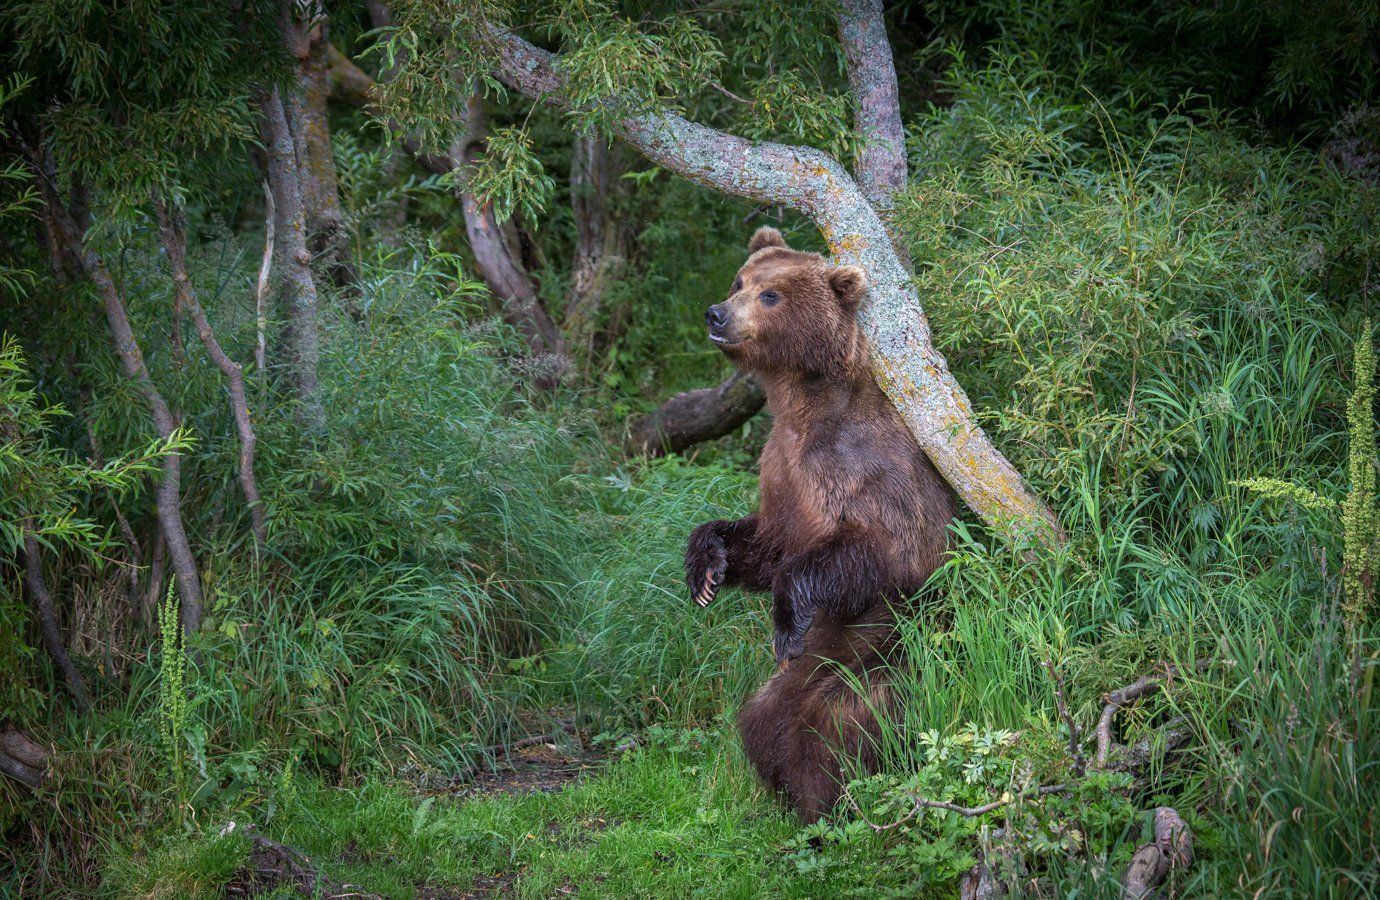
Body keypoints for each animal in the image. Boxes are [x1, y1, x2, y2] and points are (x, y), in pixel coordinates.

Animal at [684, 225, 954, 822]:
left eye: (771, 295)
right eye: (740, 281)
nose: (716, 313)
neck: (800, 409)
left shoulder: (860, 469)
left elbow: (878, 549)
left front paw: (785, 622)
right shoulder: (781, 470)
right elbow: (767, 543)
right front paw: (706, 568)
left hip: (890, 646)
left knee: (848, 715)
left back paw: (824, 801)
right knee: (762, 713)